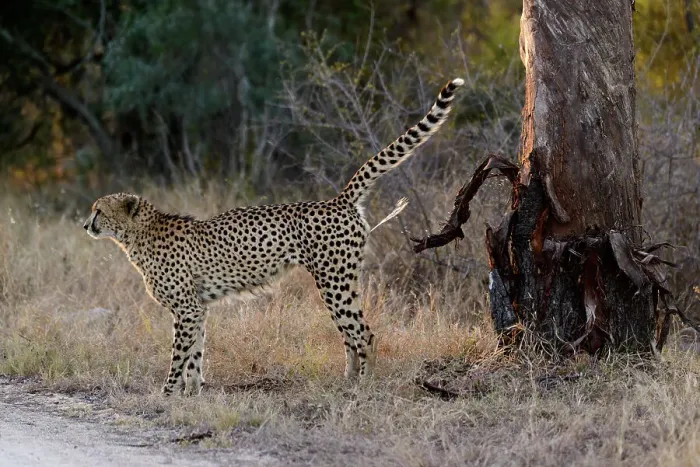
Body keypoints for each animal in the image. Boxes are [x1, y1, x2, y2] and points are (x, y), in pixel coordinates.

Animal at [83, 77, 464, 396]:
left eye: (98, 210)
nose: (86, 225)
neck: (137, 235)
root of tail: (337, 200)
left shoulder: (187, 308)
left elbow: (179, 356)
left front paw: (168, 393)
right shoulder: (197, 309)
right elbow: (195, 355)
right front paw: (193, 393)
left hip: (333, 281)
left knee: (363, 333)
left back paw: (362, 388)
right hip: (343, 281)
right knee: (350, 334)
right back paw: (347, 381)